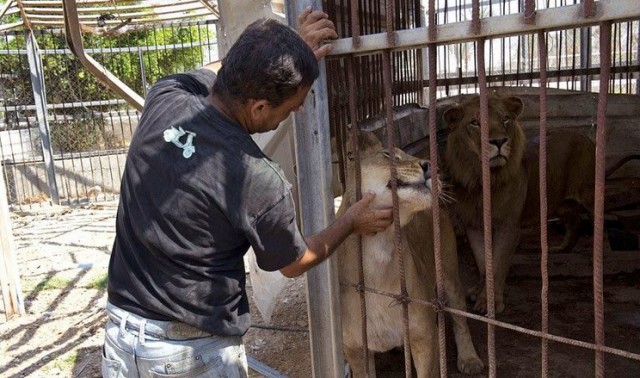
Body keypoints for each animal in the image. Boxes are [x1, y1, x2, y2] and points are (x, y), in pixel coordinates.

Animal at [338, 132, 482, 376]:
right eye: (388, 154)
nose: (432, 167)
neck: (380, 247)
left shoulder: (424, 336)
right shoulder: (355, 349)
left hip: (449, 274)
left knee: (460, 318)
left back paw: (470, 359)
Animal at [442, 94, 596, 314]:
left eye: (505, 119)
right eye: (475, 123)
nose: (499, 141)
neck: (483, 180)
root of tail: (585, 136)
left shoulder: (509, 227)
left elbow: (497, 265)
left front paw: (490, 302)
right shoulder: (473, 226)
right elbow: (483, 263)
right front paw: (478, 291)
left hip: (589, 196)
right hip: (559, 202)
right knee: (574, 221)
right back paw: (561, 249)